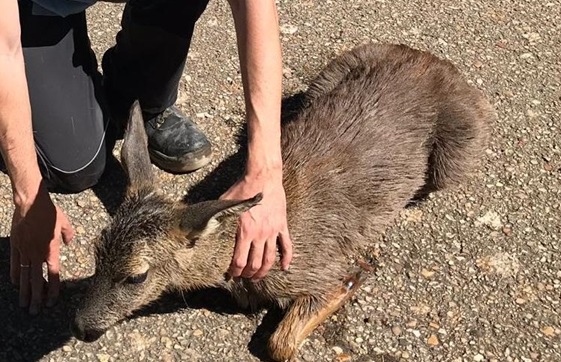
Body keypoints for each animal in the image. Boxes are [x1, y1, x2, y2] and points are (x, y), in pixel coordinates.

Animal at [71, 43, 494, 362]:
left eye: (136, 276)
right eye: (95, 251)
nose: (79, 326)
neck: (234, 265)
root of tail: (429, 58)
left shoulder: (321, 268)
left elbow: (281, 343)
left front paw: (354, 281)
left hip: (456, 152)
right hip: (325, 78)